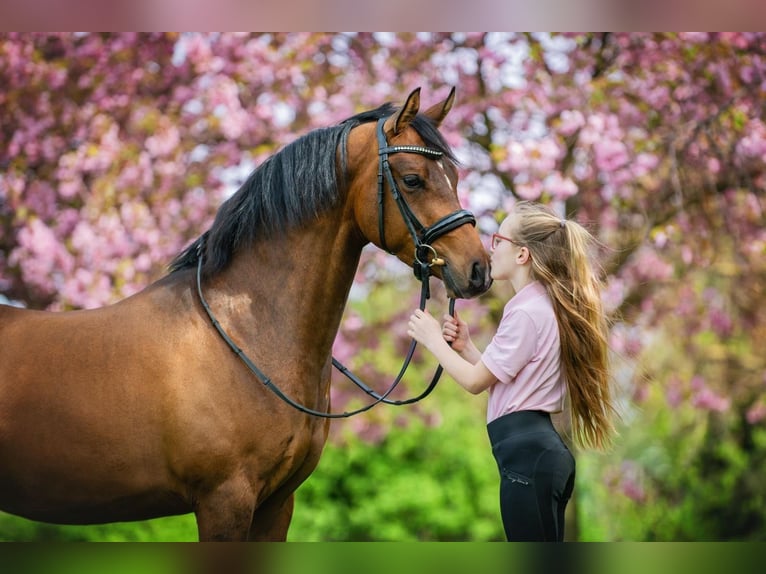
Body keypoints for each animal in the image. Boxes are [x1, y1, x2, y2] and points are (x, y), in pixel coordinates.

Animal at [0, 88, 492, 544]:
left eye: (453, 175)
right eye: (412, 179)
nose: (478, 269)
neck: (245, 335)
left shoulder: (276, 504)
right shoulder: (225, 500)